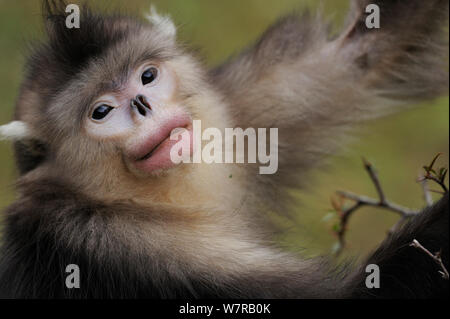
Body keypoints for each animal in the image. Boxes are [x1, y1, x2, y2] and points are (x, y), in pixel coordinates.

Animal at [0, 0, 448, 300]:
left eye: (148, 76)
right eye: (101, 112)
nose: (144, 106)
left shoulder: (237, 109)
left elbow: (375, 51)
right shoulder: (114, 242)